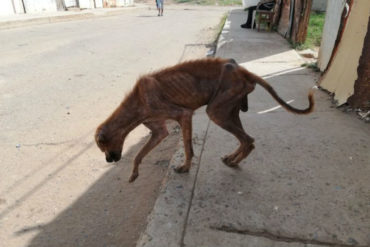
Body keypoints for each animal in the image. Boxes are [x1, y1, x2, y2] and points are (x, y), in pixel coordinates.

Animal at [94, 58, 312, 181]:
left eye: (102, 147)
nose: (108, 160)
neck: (137, 100)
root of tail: (243, 71)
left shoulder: (184, 116)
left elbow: (188, 148)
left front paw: (185, 167)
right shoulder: (158, 132)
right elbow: (139, 155)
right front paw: (134, 174)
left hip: (216, 112)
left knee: (247, 139)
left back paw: (234, 161)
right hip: (229, 111)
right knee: (247, 140)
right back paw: (232, 158)